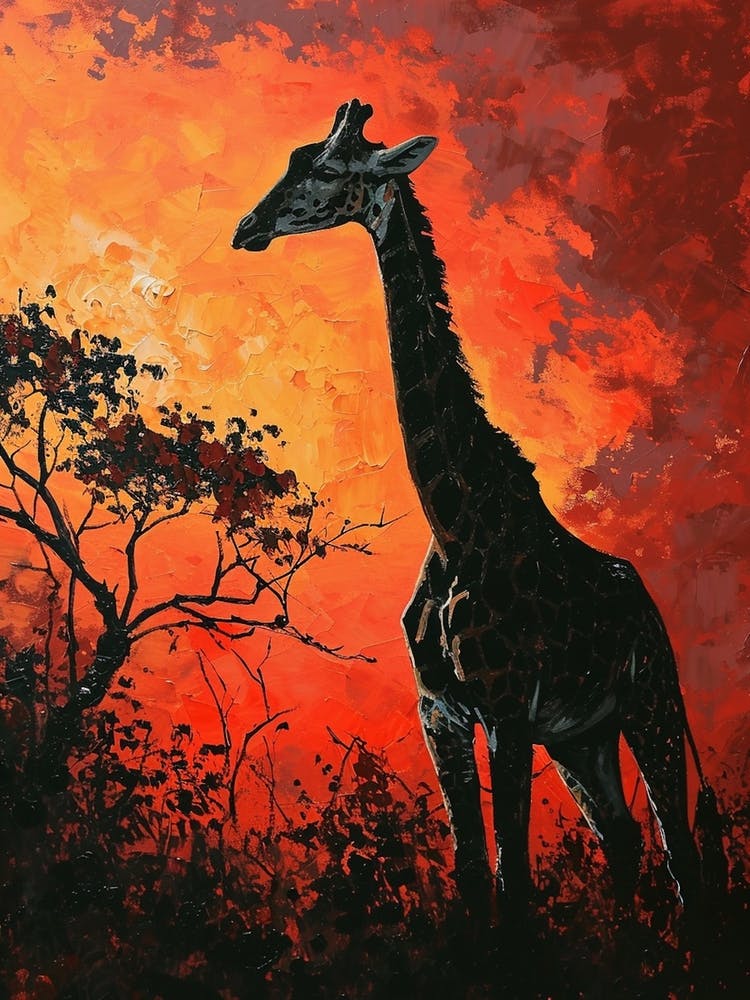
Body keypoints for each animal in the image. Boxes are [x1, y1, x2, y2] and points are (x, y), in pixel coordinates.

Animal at [232, 99, 720, 914]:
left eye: (327, 168)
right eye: (293, 159)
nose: (247, 228)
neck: (454, 522)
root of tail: (652, 610)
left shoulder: (507, 712)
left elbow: (511, 880)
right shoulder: (444, 715)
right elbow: (469, 875)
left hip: (651, 705)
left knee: (681, 852)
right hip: (580, 738)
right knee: (622, 839)